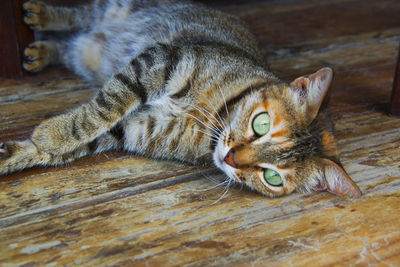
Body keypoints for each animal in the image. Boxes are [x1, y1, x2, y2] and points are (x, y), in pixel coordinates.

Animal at [0, 0, 362, 199]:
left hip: (83, 54)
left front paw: (21, 151)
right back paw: (41, 15)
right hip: (117, 8)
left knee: (68, 45)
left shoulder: (133, 129)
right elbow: (101, 110)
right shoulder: (160, 61)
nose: (230, 158)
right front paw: (53, 135)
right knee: (79, 15)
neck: (210, 117)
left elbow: (80, 139)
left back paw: (40, 51)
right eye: (261, 123)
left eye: (271, 177)